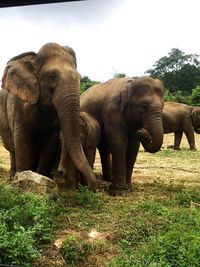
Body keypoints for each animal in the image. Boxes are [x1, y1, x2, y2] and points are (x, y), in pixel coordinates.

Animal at [0, 42, 96, 193]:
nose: (90, 189)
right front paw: (22, 183)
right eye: (52, 76)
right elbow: (22, 142)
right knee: (12, 149)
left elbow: (50, 143)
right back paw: (12, 177)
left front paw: (40, 180)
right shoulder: (19, 106)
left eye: (80, 78)